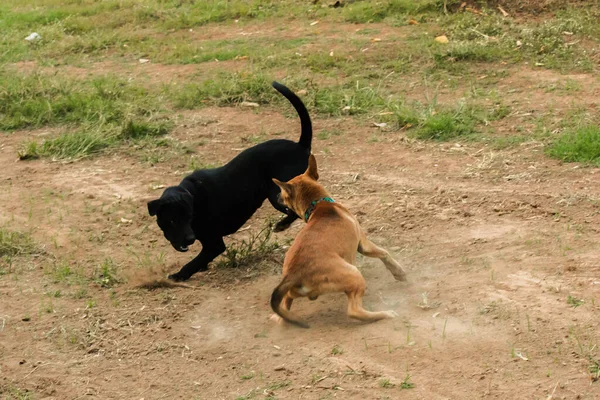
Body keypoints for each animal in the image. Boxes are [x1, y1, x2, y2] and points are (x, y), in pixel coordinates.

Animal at [148, 81, 312, 282]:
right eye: (172, 220)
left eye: (188, 217)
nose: (189, 239)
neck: (192, 194)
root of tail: (300, 146)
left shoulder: (214, 244)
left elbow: (193, 262)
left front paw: (179, 275)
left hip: (278, 195)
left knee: (298, 211)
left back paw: (282, 225)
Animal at [272, 154, 408, 328]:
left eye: (282, 194)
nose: (276, 196)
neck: (319, 204)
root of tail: (294, 274)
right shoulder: (364, 245)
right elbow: (385, 254)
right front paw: (399, 272)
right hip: (354, 274)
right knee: (354, 311)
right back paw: (385, 314)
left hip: (290, 295)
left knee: (284, 310)